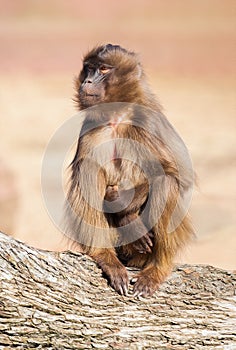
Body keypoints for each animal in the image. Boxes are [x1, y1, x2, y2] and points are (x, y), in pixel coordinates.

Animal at [64, 42, 194, 296]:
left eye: (104, 69)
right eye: (89, 68)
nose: (88, 81)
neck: (117, 116)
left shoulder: (148, 121)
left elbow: (174, 175)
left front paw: (124, 209)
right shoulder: (90, 127)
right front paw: (127, 221)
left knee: (166, 184)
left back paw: (157, 268)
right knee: (89, 171)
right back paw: (106, 257)